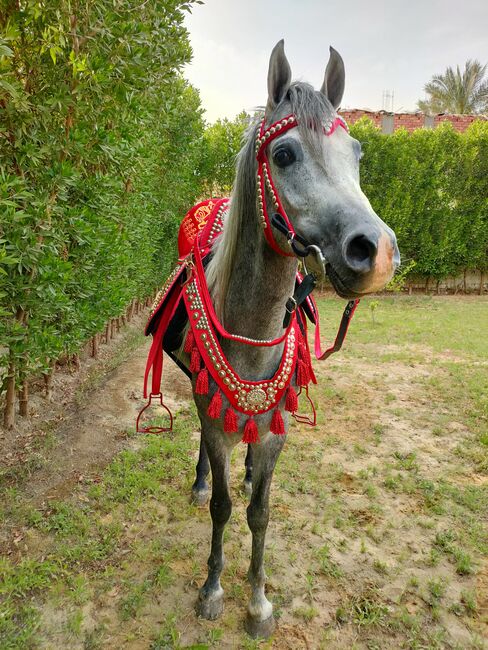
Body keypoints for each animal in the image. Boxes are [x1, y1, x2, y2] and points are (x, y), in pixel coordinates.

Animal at [142, 39, 400, 636]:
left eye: (358, 154)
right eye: (283, 155)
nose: (375, 251)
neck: (251, 330)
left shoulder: (277, 435)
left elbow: (260, 511)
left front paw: (258, 601)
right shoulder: (214, 419)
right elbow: (223, 507)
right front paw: (213, 590)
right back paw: (200, 482)